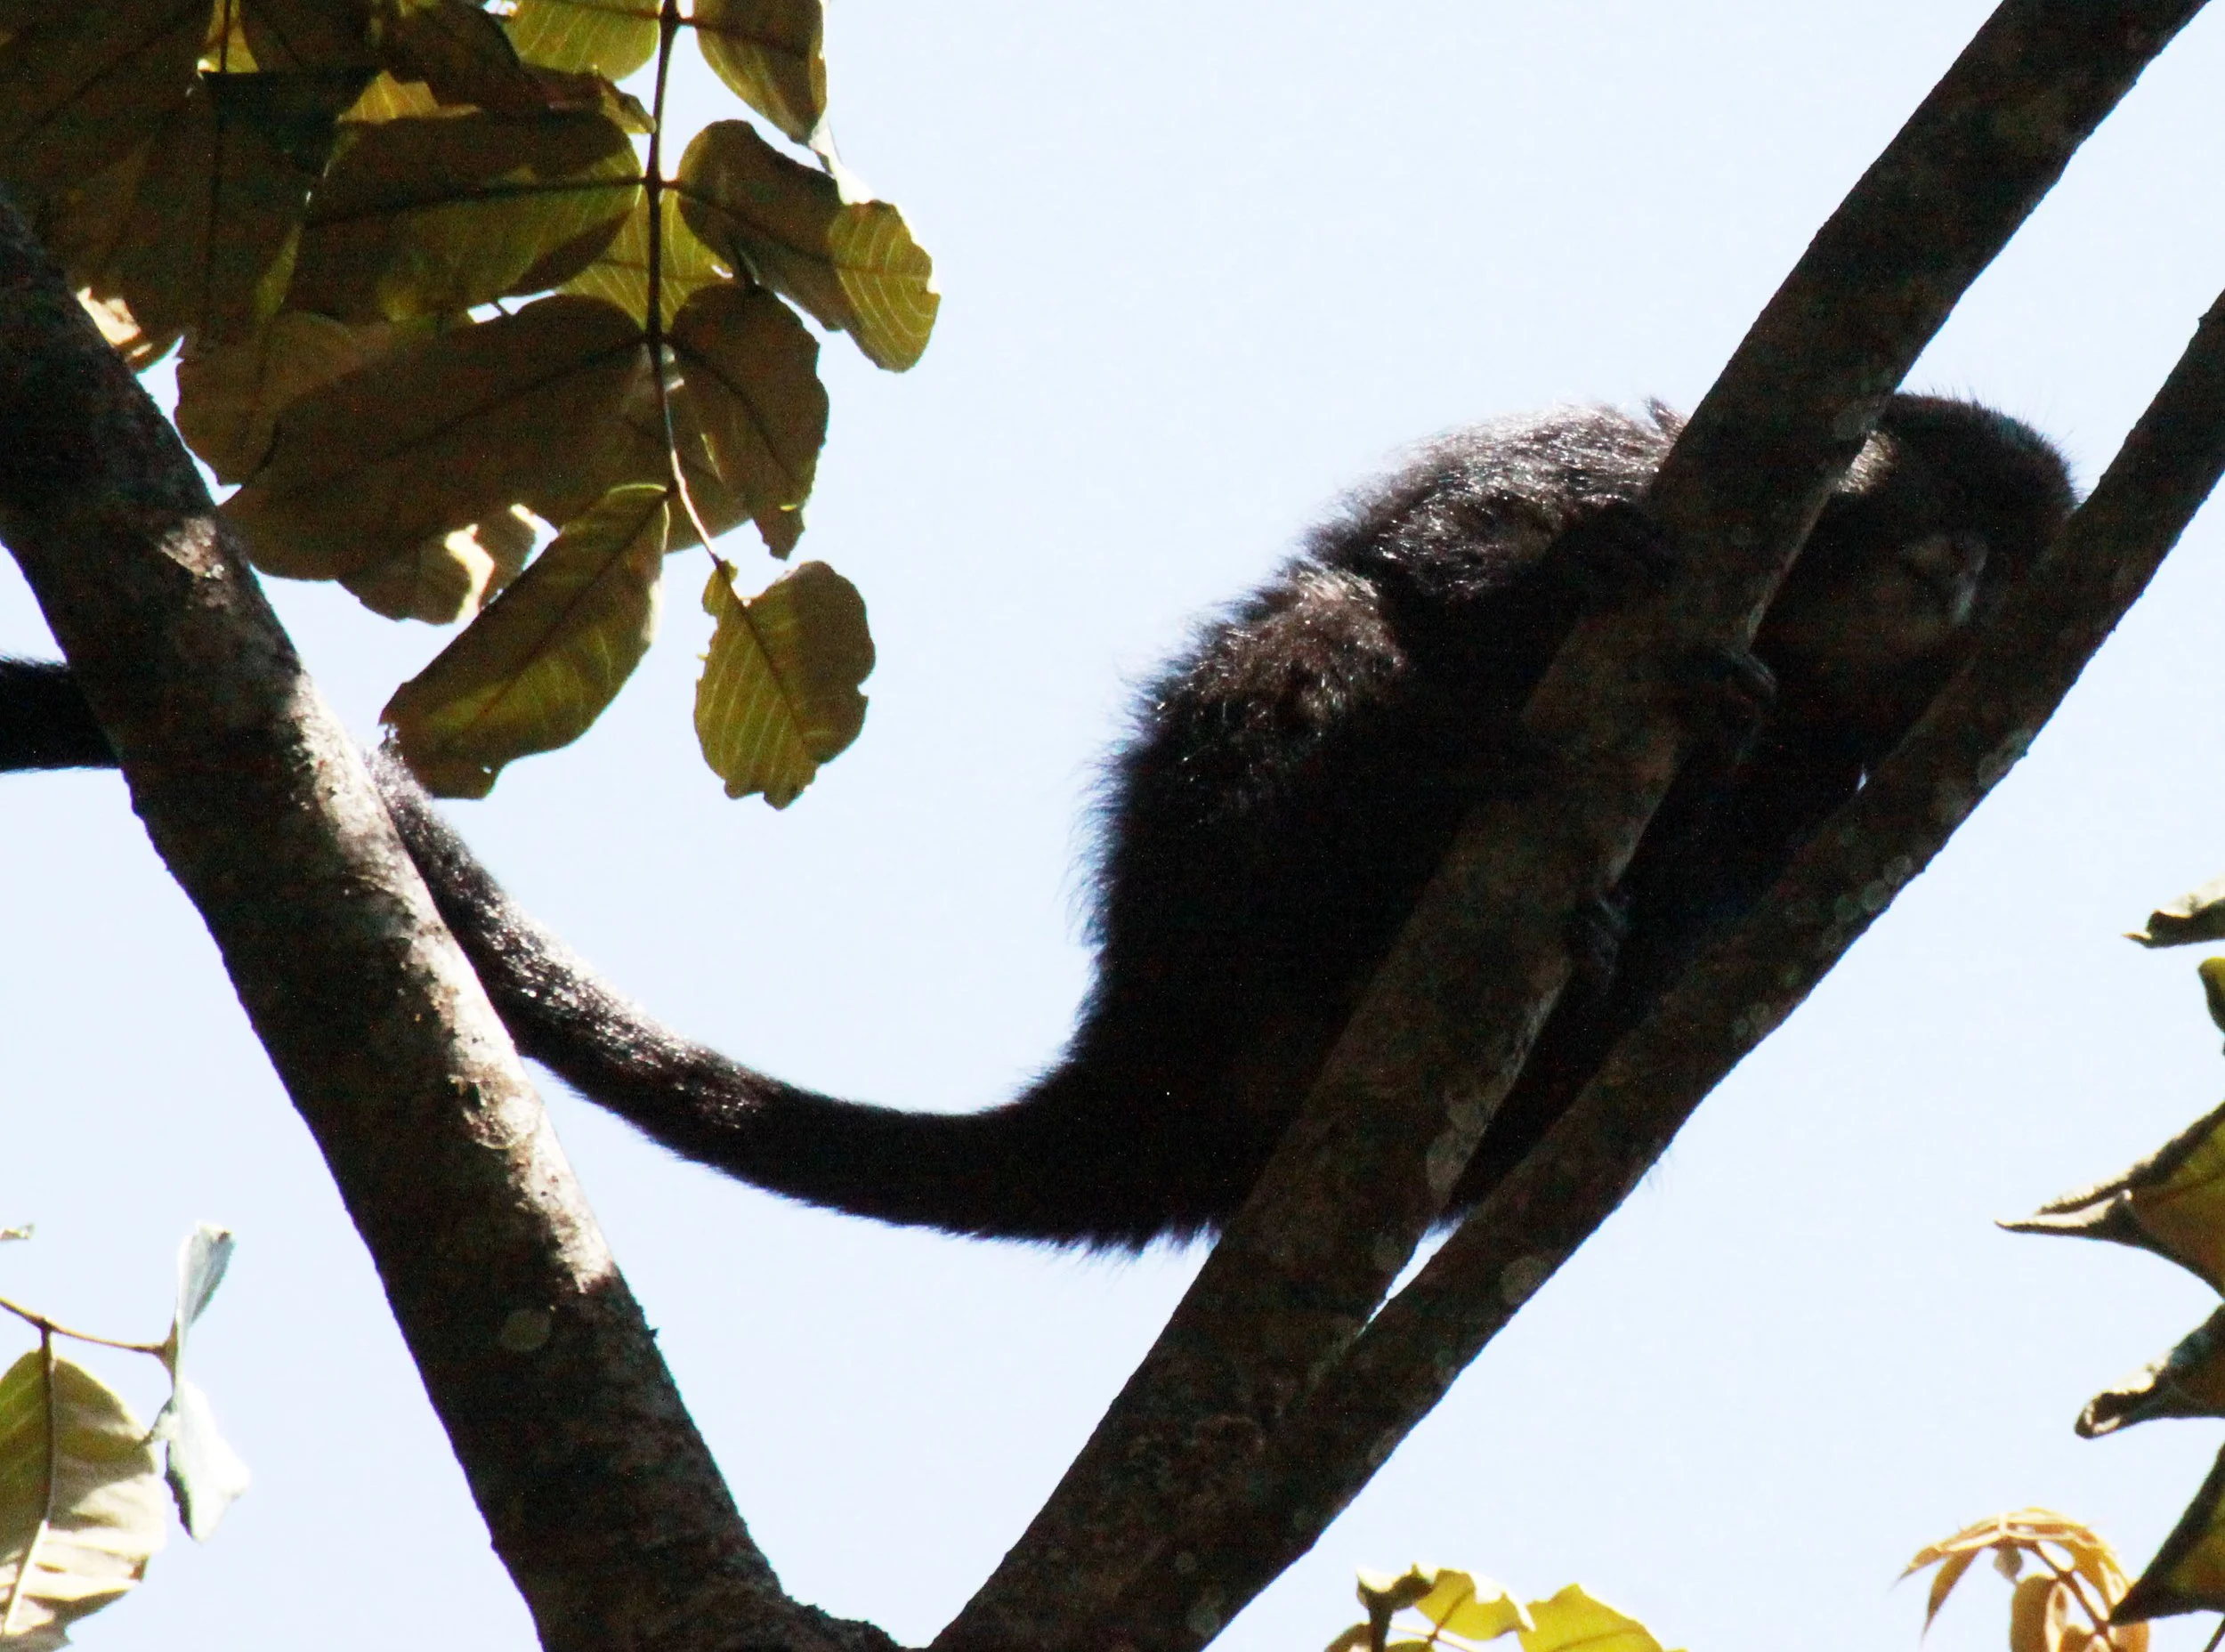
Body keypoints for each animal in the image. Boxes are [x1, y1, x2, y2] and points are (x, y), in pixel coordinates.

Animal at [0, 396, 2076, 1249]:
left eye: (2015, 548)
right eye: (1949, 507)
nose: (1975, 572)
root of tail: (1145, 1034)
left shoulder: (1855, 764)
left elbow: (1758, 875)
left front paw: (1709, 772)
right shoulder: (1696, 458)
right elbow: (1441, 552)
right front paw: (1575, 581)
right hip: (1202, 872)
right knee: (1321, 640)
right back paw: (1378, 871)